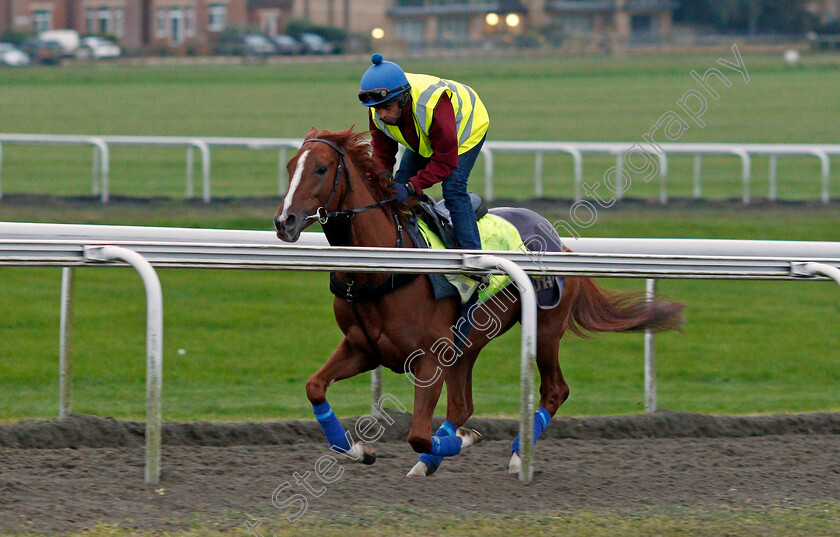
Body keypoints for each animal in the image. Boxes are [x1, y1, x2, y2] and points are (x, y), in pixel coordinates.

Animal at [276, 126, 684, 478]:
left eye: (321, 168)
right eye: (290, 166)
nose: (285, 221)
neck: (383, 267)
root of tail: (557, 238)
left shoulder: (429, 357)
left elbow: (418, 434)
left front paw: (465, 439)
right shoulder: (363, 348)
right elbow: (315, 387)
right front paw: (359, 449)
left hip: (546, 328)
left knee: (554, 389)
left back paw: (518, 456)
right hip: (468, 342)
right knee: (462, 405)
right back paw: (435, 459)